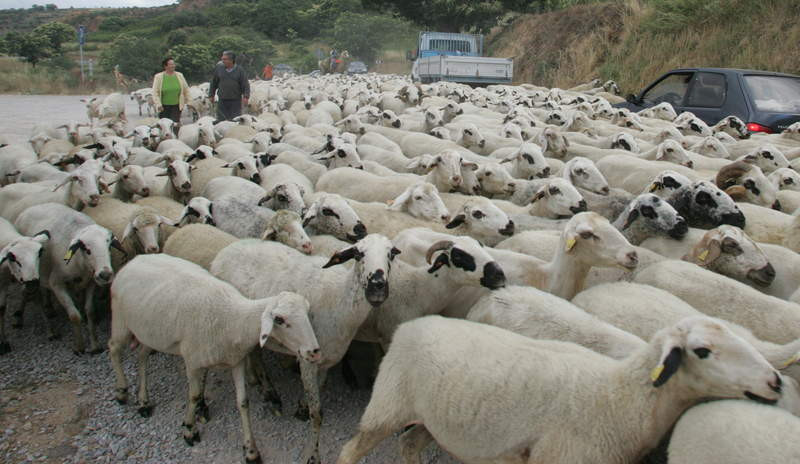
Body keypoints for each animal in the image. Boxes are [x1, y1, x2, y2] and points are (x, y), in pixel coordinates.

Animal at [14, 202, 123, 352]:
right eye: (87, 249)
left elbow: (90, 311)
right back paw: (23, 318)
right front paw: (79, 347)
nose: (105, 275)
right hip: (27, 274)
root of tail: (33, 207)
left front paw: (94, 345)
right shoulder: (57, 284)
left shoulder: (90, 283)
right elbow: (74, 315)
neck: (79, 262)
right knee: (26, 292)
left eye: (108, 246)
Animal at [108, 254, 320, 464]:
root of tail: (135, 259)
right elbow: (194, 396)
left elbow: (243, 403)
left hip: (151, 333)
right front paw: (190, 430)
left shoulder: (236, 361)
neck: (234, 318)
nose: (314, 351)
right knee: (113, 349)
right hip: (121, 322)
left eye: (307, 313)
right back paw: (121, 391)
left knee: (142, 355)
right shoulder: (193, 362)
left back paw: (143, 401)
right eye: (279, 320)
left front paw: (251, 451)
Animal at [338, 314, 780, 462]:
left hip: (435, 419)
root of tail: (410, 326)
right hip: (387, 405)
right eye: (702, 351)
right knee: (350, 451)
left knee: (410, 444)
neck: (618, 397)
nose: (774, 382)